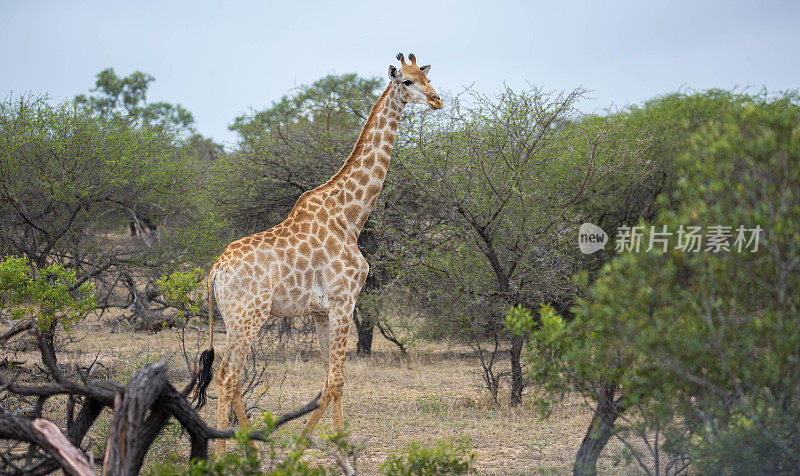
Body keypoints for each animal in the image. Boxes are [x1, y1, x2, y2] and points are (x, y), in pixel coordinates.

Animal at [195, 53, 444, 458]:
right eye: (407, 81)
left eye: (425, 76)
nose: (437, 100)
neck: (351, 216)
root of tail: (215, 271)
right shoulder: (345, 300)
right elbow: (337, 380)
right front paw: (333, 449)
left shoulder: (320, 310)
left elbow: (328, 379)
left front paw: (315, 444)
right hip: (249, 317)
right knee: (229, 376)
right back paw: (223, 457)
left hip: (232, 320)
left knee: (227, 375)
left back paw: (251, 450)